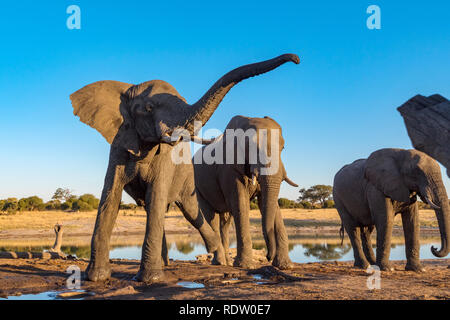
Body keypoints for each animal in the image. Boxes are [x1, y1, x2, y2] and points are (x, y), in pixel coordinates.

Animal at [193, 115, 298, 270]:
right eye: (252, 148)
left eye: (283, 148)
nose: (268, 256)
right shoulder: (229, 169)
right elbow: (240, 204)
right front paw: (246, 266)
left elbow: (268, 203)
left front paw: (286, 266)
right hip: (197, 186)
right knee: (211, 217)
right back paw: (220, 262)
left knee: (225, 221)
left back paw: (227, 262)